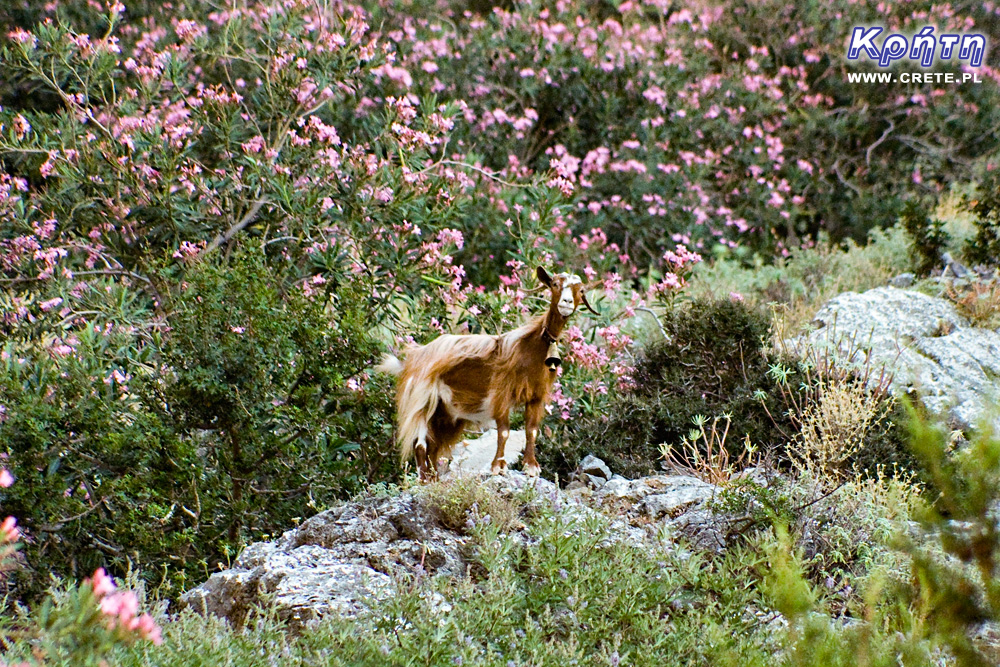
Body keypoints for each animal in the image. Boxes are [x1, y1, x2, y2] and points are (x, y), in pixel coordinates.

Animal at [376, 268, 592, 482]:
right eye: (555, 285)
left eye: (581, 290)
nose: (566, 303)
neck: (530, 348)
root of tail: (411, 359)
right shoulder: (501, 392)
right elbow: (503, 431)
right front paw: (498, 466)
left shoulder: (536, 396)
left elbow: (531, 430)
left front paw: (531, 467)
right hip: (422, 400)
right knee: (420, 444)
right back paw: (424, 480)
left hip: (445, 415)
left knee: (433, 447)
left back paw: (434, 479)